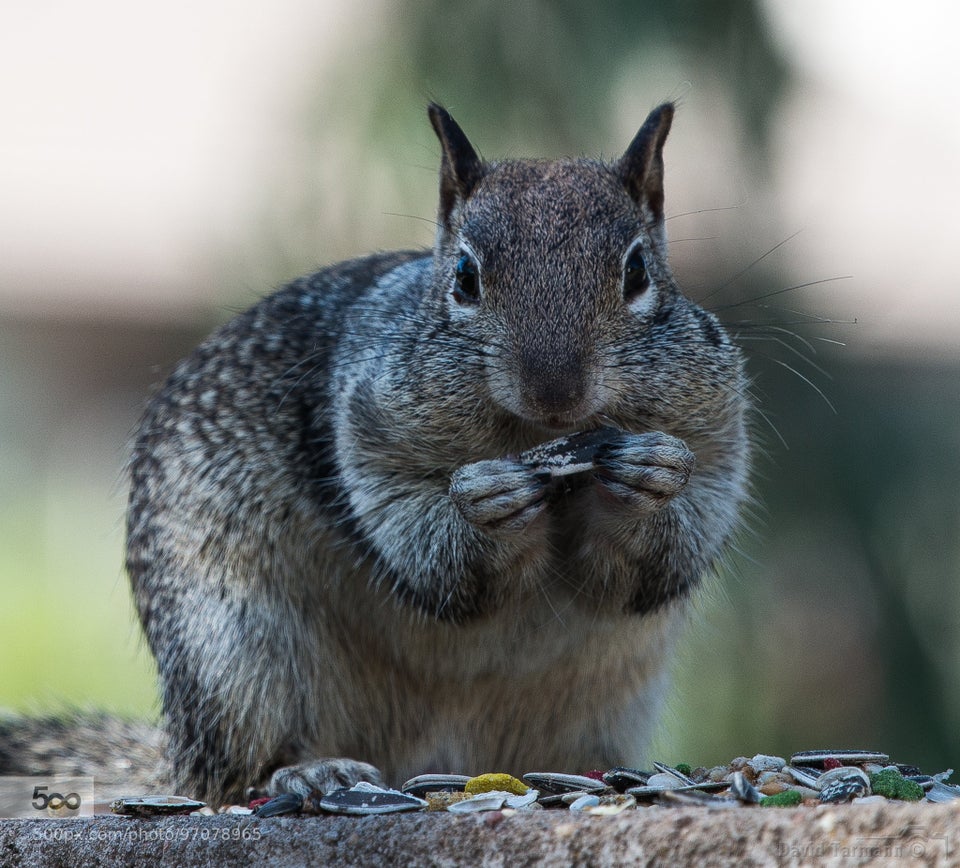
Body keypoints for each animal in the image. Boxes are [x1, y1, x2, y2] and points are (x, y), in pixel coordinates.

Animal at [122, 101, 752, 808]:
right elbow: (424, 549)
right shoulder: (367, 431)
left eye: (638, 271)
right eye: (465, 277)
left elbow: (671, 547)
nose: (555, 392)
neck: (535, 442)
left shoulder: (718, 427)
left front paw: (652, 478)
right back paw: (313, 771)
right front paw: (486, 504)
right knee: (229, 772)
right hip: (230, 656)